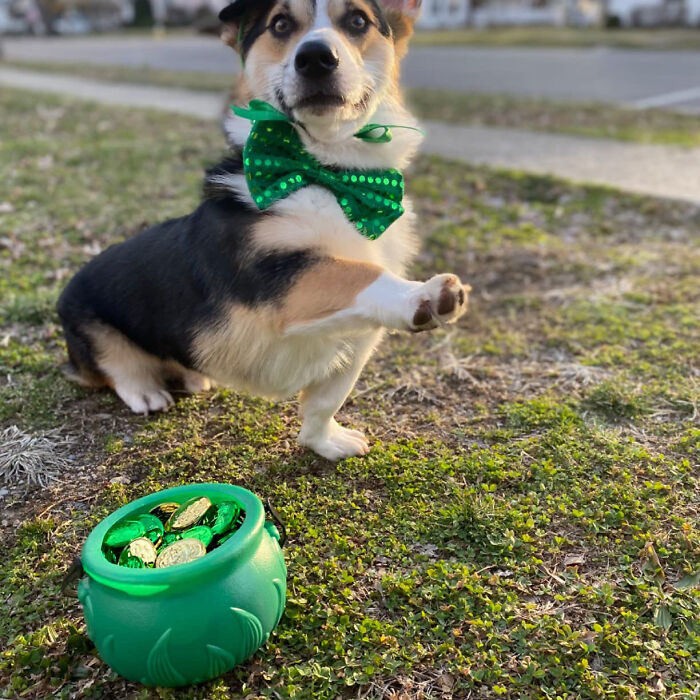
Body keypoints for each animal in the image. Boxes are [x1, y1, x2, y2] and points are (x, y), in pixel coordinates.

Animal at [56, 0, 470, 460]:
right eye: (281, 24)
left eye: (358, 20)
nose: (316, 58)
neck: (327, 173)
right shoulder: (278, 273)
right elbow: (359, 273)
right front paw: (426, 296)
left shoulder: (352, 336)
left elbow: (327, 400)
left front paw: (325, 443)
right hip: (91, 329)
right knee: (117, 369)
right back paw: (145, 391)